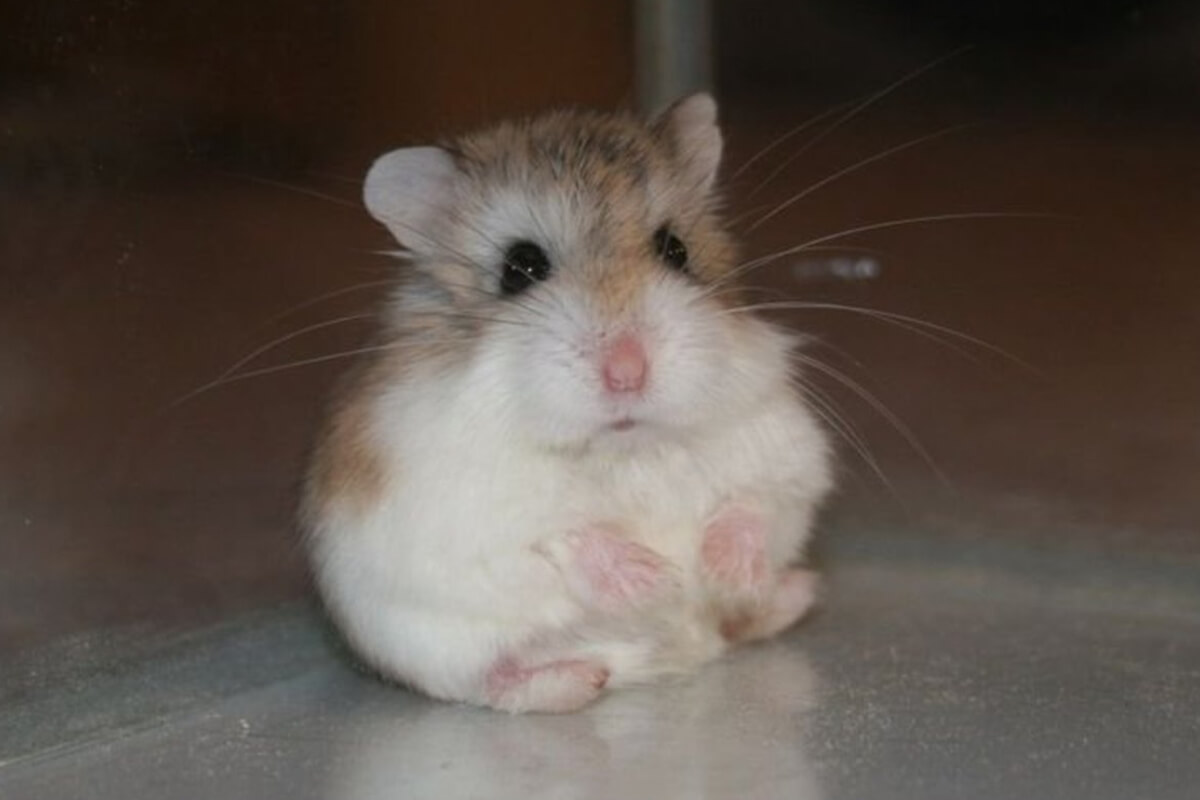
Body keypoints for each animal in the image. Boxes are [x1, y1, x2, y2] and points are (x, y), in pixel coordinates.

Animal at [301, 94, 833, 713]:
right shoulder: (468, 513)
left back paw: (791, 592)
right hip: (426, 650)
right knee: (492, 680)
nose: (627, 372)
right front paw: (657, 577)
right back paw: (579, 679)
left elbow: (755, 502)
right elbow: (560, 534)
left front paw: (717, 566)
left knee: (739, 624)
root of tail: (676, 655)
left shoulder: (785, 452)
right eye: (520, 267)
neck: (623, 447)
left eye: (675, 250)